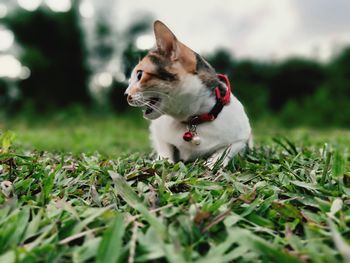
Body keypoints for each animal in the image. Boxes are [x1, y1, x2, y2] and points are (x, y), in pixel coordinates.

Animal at [126, 20, 252, 167]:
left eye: (139, 75)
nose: (125, 94)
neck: (192, 119)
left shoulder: (243, 137)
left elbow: (228, 149)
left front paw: (213, 163)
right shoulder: (156, 129)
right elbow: (164, 147)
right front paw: (164, 161)